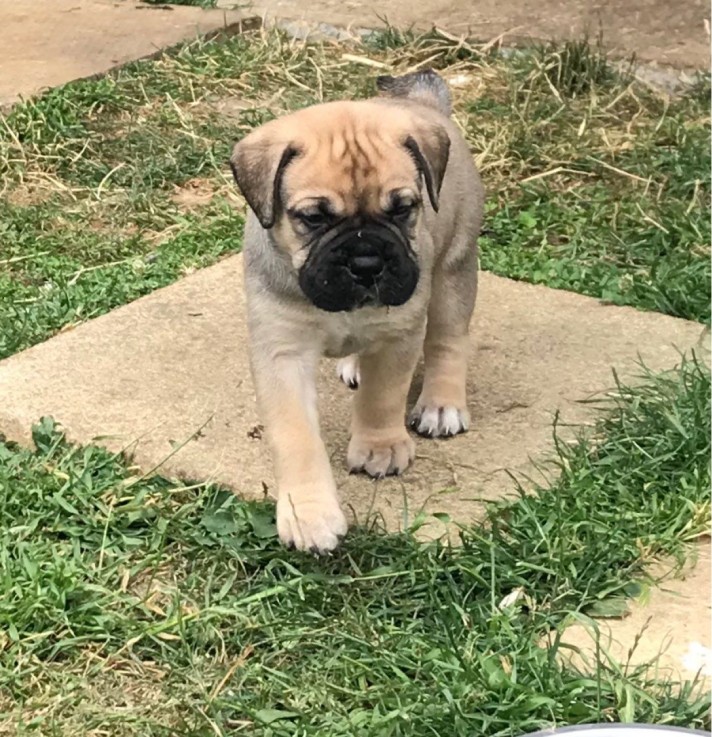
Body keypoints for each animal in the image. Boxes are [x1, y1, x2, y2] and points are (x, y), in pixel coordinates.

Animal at [228, 70, 484, 552]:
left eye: (403, 209)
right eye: (313, 218)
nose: (367, 262)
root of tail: (426, 106)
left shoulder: (396, 333)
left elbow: (383, 397)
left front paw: (380, 448)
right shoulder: (282, 351)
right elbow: (296, 435)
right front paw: (308, 514)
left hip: (454, 269)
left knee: (448, 341)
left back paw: (441, 404)